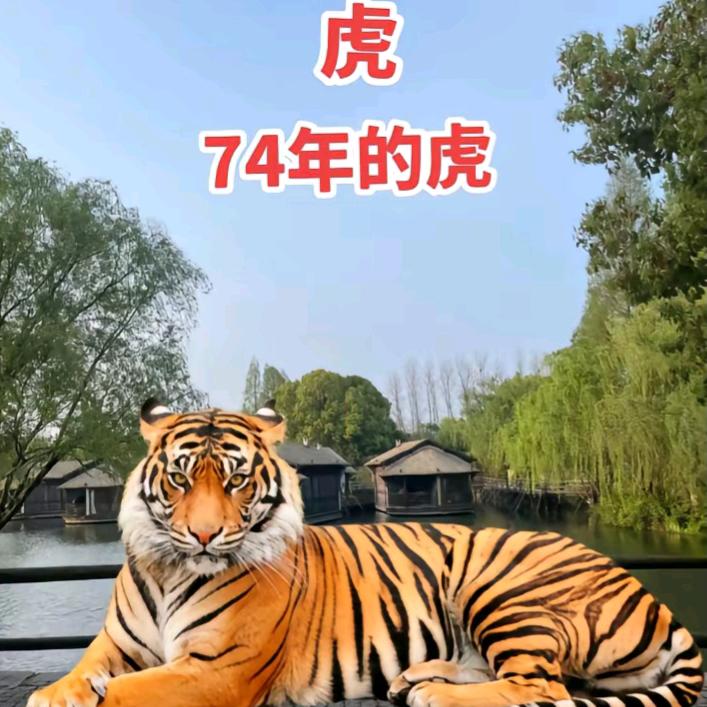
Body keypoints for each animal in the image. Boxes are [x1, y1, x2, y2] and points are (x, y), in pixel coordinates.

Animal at [28, 399, 703, 707]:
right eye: (179, 478)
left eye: (238, 481)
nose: (203, 537)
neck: (171, 570)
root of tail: (651, 597)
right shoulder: (115, 645)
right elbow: (79, 677)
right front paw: (57, 691)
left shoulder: (219, 669)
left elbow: (125, 693)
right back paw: (416, 677)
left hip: (499, 582)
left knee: (540, 687)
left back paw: (435, 694)